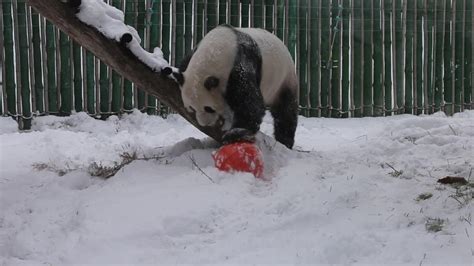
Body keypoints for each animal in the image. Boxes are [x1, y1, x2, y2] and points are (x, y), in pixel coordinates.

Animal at [170, 24, 298, 149]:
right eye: (192, 108)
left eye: (209, 108)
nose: (205, 123)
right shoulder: (192, 56)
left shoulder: (239, 65)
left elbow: (249, 103)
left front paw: (235, 133)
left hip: (284, 79)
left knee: (285, 111)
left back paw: (285, 141)